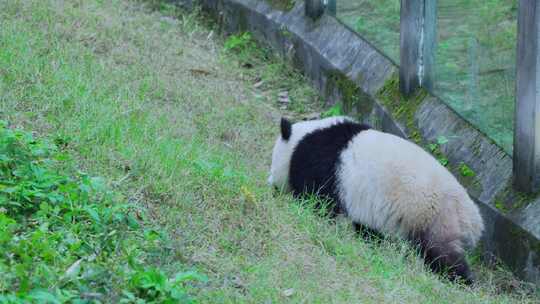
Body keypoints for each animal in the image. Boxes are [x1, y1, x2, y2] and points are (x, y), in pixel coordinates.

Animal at [270, 115, 486, 284]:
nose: (271, 186)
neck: (299, 141)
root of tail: (473, 220)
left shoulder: (321, 166)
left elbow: (319, 201)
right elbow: (367, 227)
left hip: (434, 216)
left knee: (442, 254)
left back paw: (461, 280)